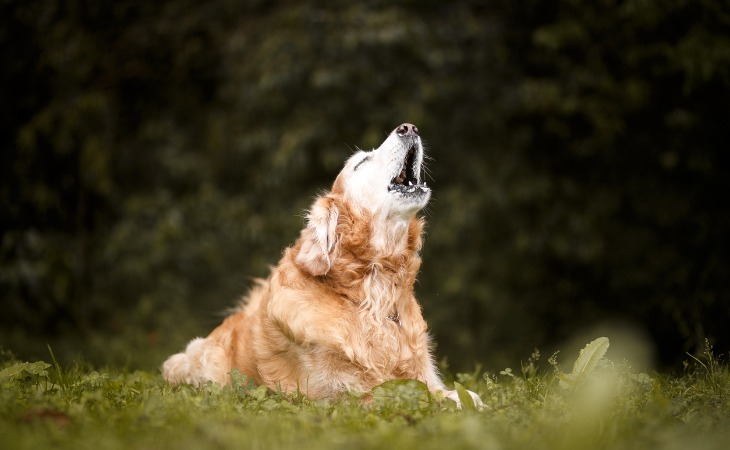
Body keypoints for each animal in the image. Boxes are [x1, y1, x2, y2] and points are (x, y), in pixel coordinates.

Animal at [165, 123, 484, 408]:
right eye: (361, 162)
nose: (409, 127)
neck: (372, 293)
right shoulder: (338, 394)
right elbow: (403, 396)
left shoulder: (423, 374)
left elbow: (456, 393)